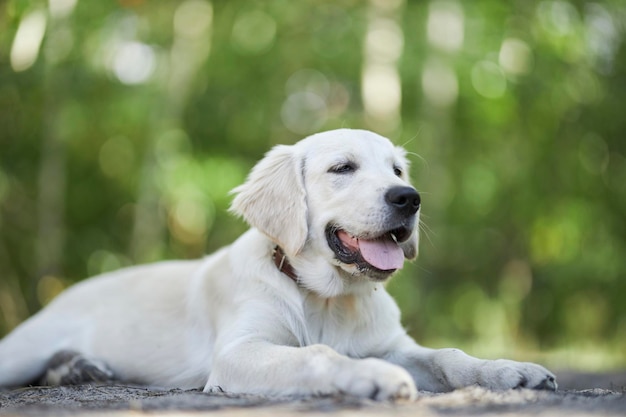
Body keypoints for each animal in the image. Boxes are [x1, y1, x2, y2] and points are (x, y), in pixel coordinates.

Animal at [0, 128, 552, 398]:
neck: (327, 299)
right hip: (22, 349)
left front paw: (509, 372)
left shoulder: (392, 343)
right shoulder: (238, 352)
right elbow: (316, 355)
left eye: (397, 170)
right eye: (343, 168)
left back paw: (78, 369)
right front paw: (369, 377)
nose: (409, 198)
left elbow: (448, 355)